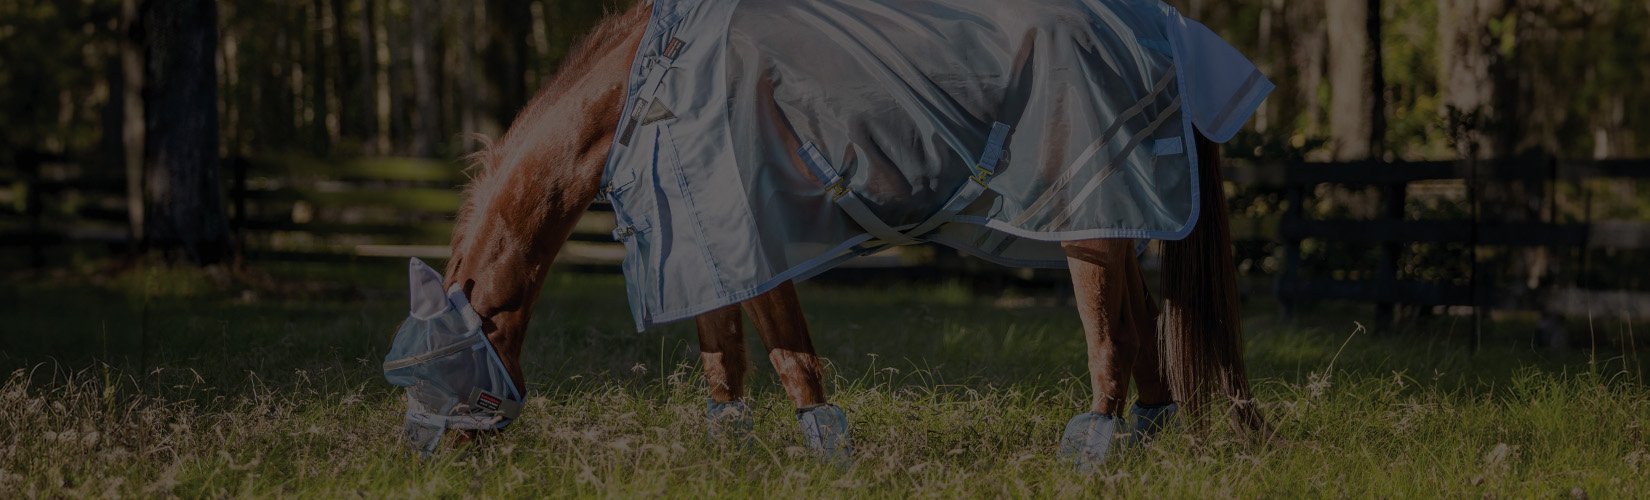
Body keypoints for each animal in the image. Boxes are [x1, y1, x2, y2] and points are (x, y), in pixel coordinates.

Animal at [433, 1, 1266, 466]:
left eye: (441, 364)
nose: (437, 459)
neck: (660, 81)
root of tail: (1162, 28)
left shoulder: (753, 241)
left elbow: (789, 358)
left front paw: (830, 458)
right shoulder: (709, 245)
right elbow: (723, 360)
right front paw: (727, 456)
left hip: (1084, 225)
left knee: (1112, 335)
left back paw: (1089, 453)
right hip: (1112, 219)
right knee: (1144, 320)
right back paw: (1147, 443)